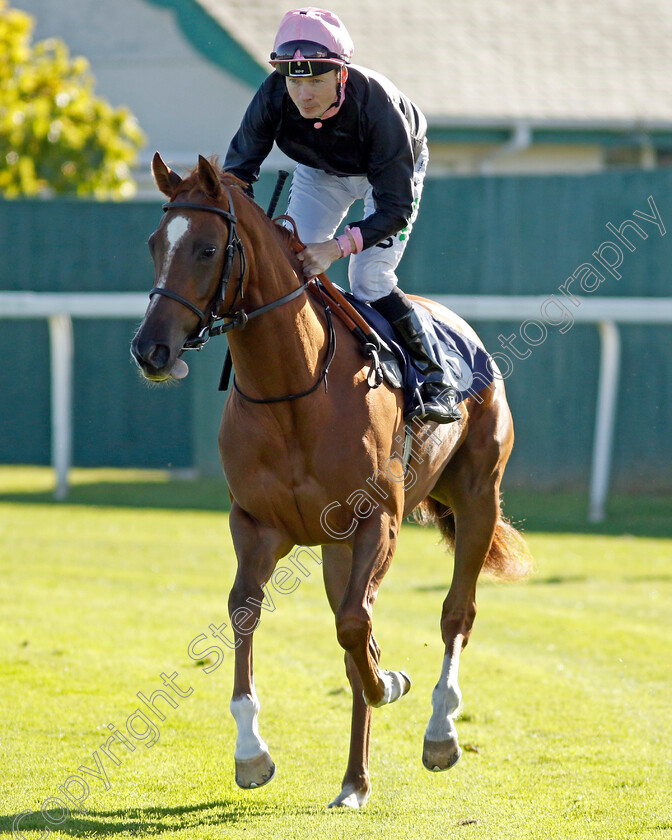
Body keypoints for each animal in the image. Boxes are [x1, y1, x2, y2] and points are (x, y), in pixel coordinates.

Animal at [131, 154, 532, 812]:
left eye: (208, 248)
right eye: (154, 244)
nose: (150, 350)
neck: (292, 389)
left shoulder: (380, 521)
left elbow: (355, 628)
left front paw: (389, 682)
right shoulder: (257, 525)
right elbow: (249, 612)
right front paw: (251, 753)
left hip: (477, 499)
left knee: (455, 613)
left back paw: (439, 732)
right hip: (337, 550)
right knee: (357, 631)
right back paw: (353, 782)